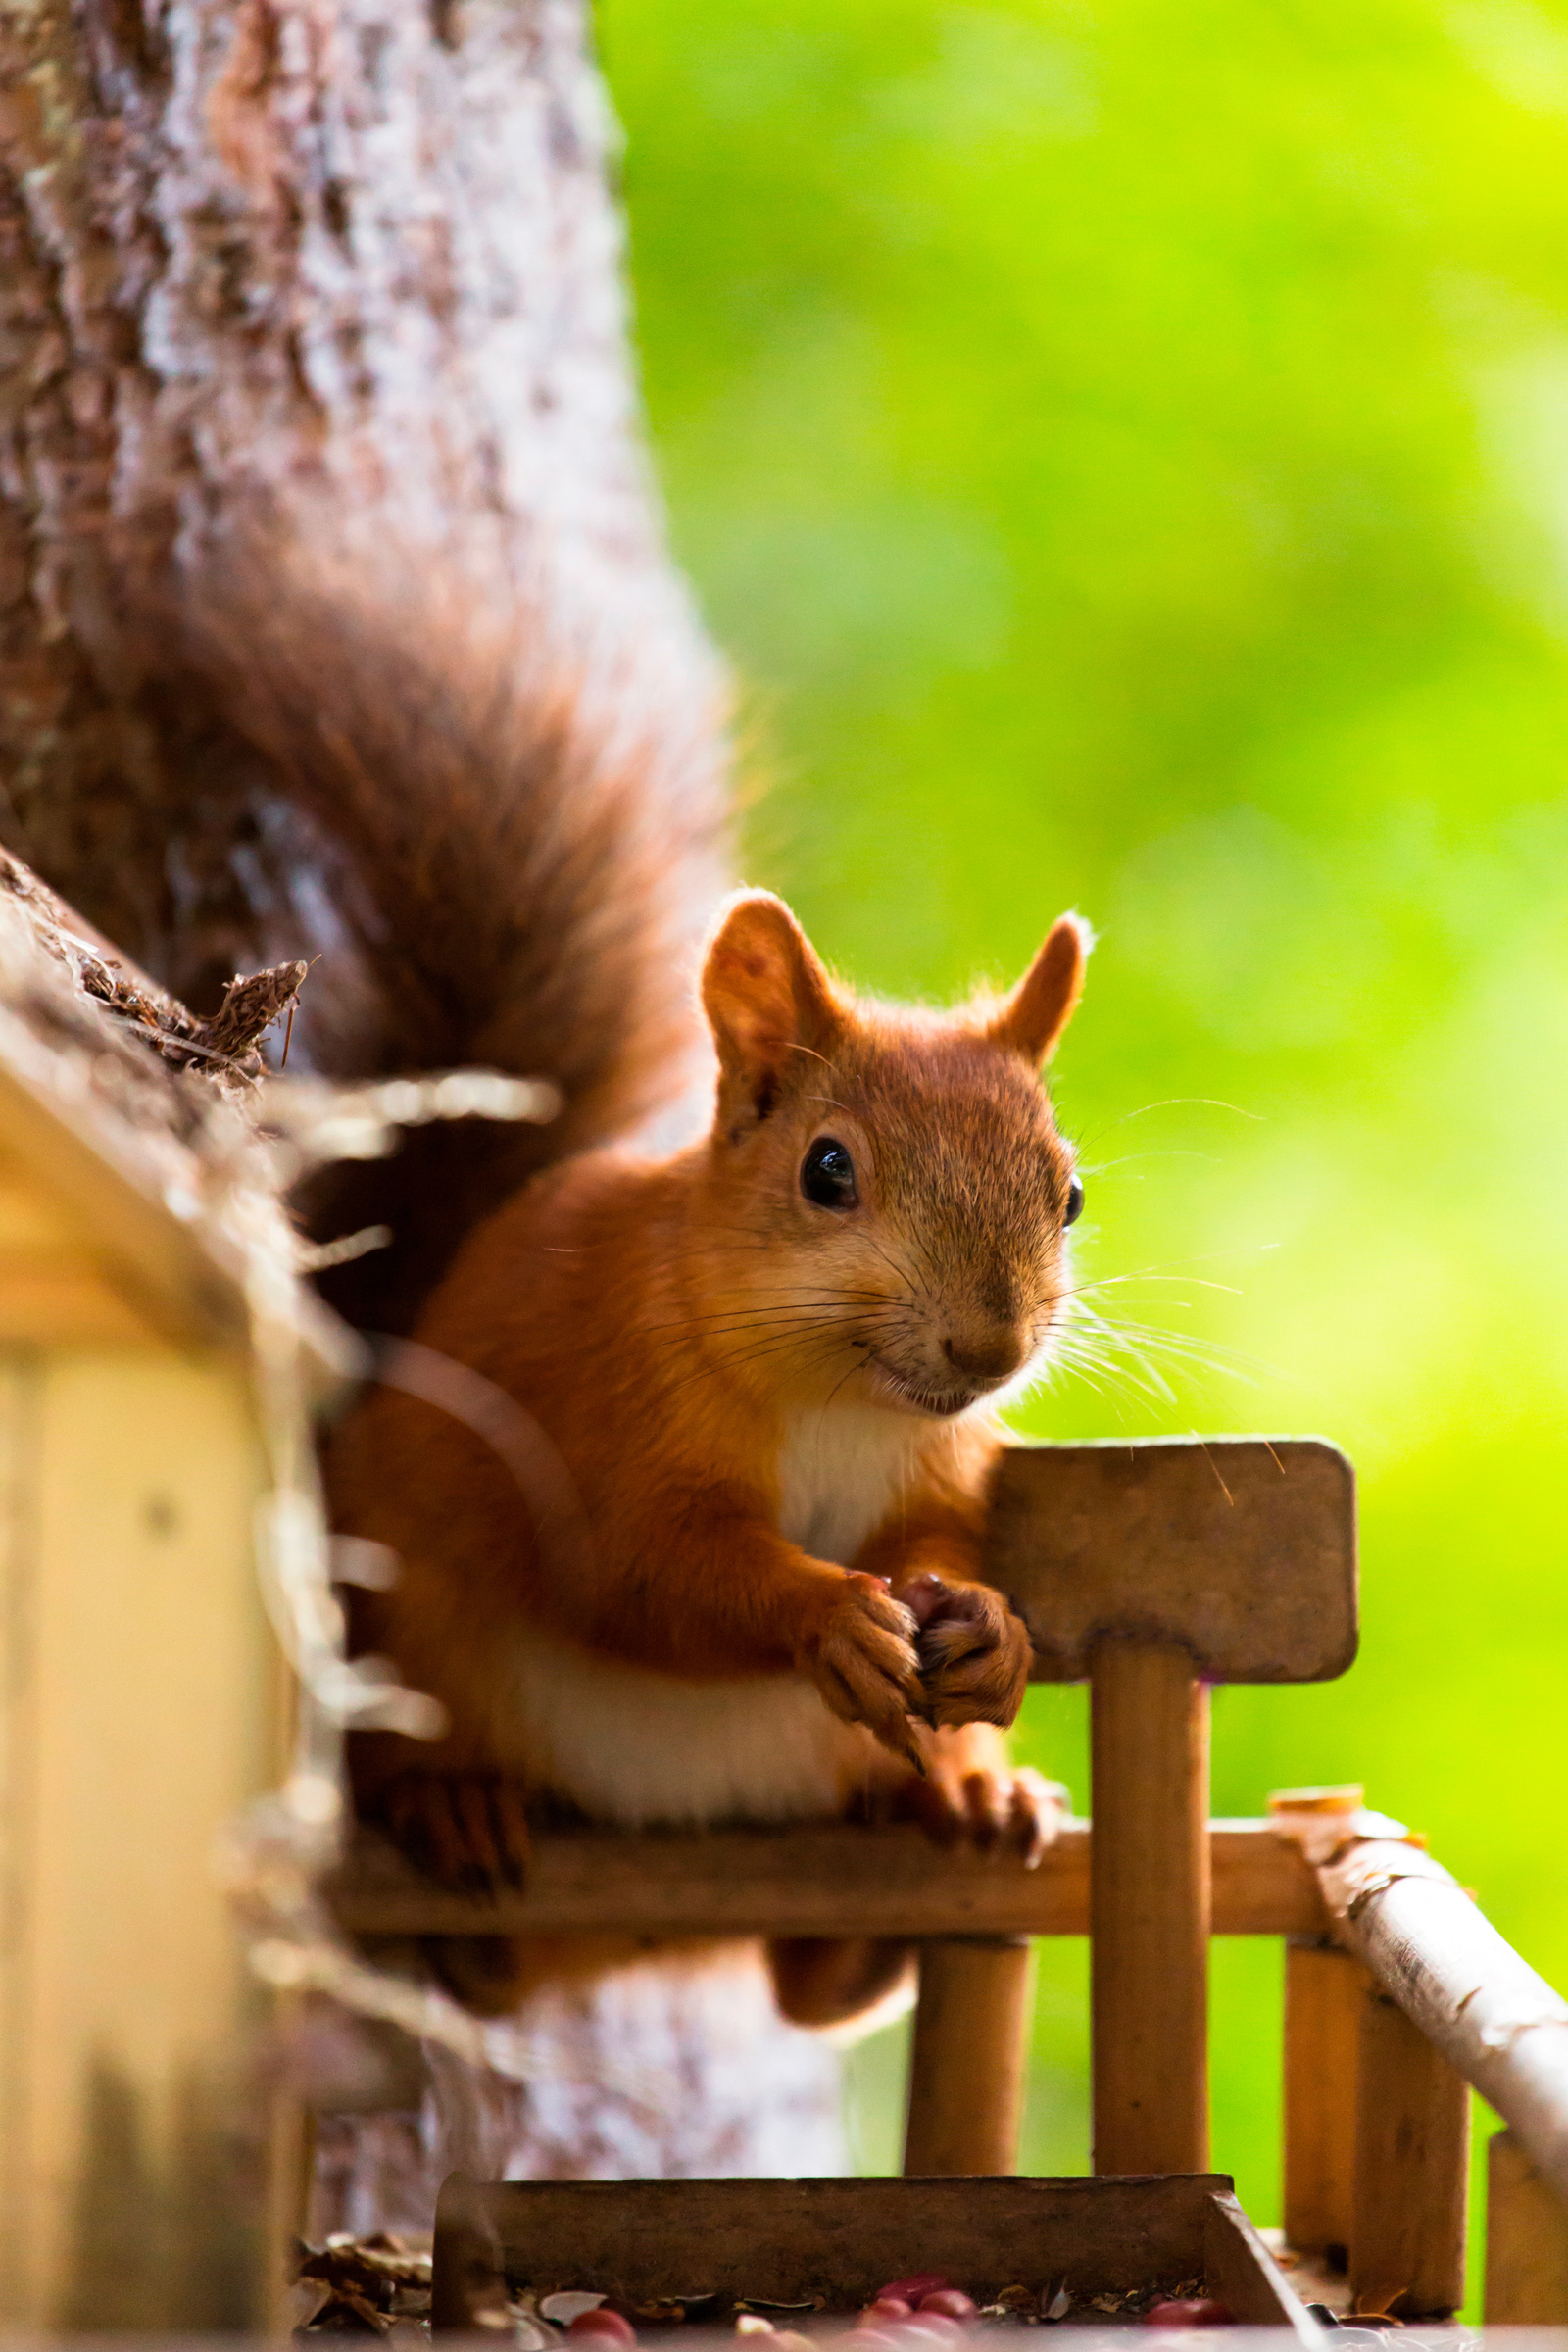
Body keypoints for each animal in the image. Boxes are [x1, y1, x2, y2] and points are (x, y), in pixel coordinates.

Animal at [331, 884, 1091, 2023]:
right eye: (827, 1170)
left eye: (1068, 1193)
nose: (989, 1349)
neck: (843, 1402)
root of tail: (658, 1937)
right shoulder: (605, 1423)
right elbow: (637, 1575)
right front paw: (828, 1616)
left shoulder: (938, 1476)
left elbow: (938, 1545)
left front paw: (993, 1628)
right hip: (408, 1636)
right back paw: (449, 1803)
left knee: (815, 1987)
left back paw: (968, 1800)